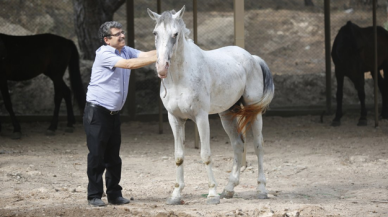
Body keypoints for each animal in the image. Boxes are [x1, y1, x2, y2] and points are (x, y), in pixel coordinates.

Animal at [147, 5, 274, 204]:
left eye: (175, 34)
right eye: (155, 33)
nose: (161, 67)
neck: (180, 78)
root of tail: (253, 58)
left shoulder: (201, 117)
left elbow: (205, 155)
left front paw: (212, 194)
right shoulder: (175, 119)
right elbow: (178, 156)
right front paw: (176, 194)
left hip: (254, 113)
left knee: (258, 145)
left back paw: (261, 190)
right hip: (227, 115)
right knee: (238, 145)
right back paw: (229, 189)